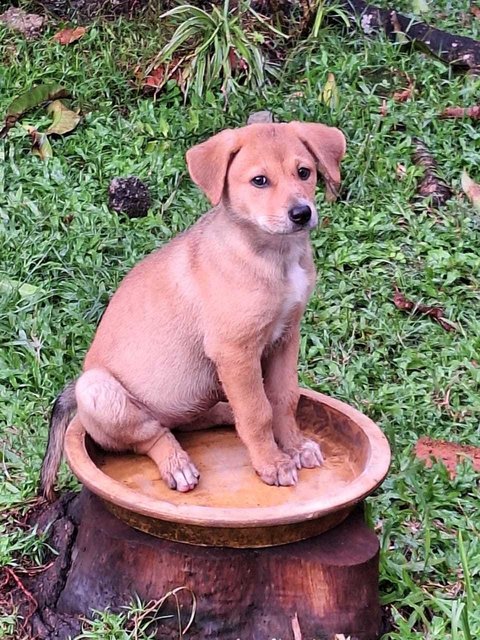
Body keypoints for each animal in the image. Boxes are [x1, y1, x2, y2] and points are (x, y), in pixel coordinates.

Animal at [40, 120, 344, 500]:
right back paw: (177, 464)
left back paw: (224, 416)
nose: (301, 214)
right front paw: (272, 463)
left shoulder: (286, 337)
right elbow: (257, 412)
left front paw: (296, 446)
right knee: (155, 435)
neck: (273, 256)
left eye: (304, 172)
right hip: (97, 390)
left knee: (197, 419)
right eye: (259, 181)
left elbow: (283, 398)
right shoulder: (234, 351)